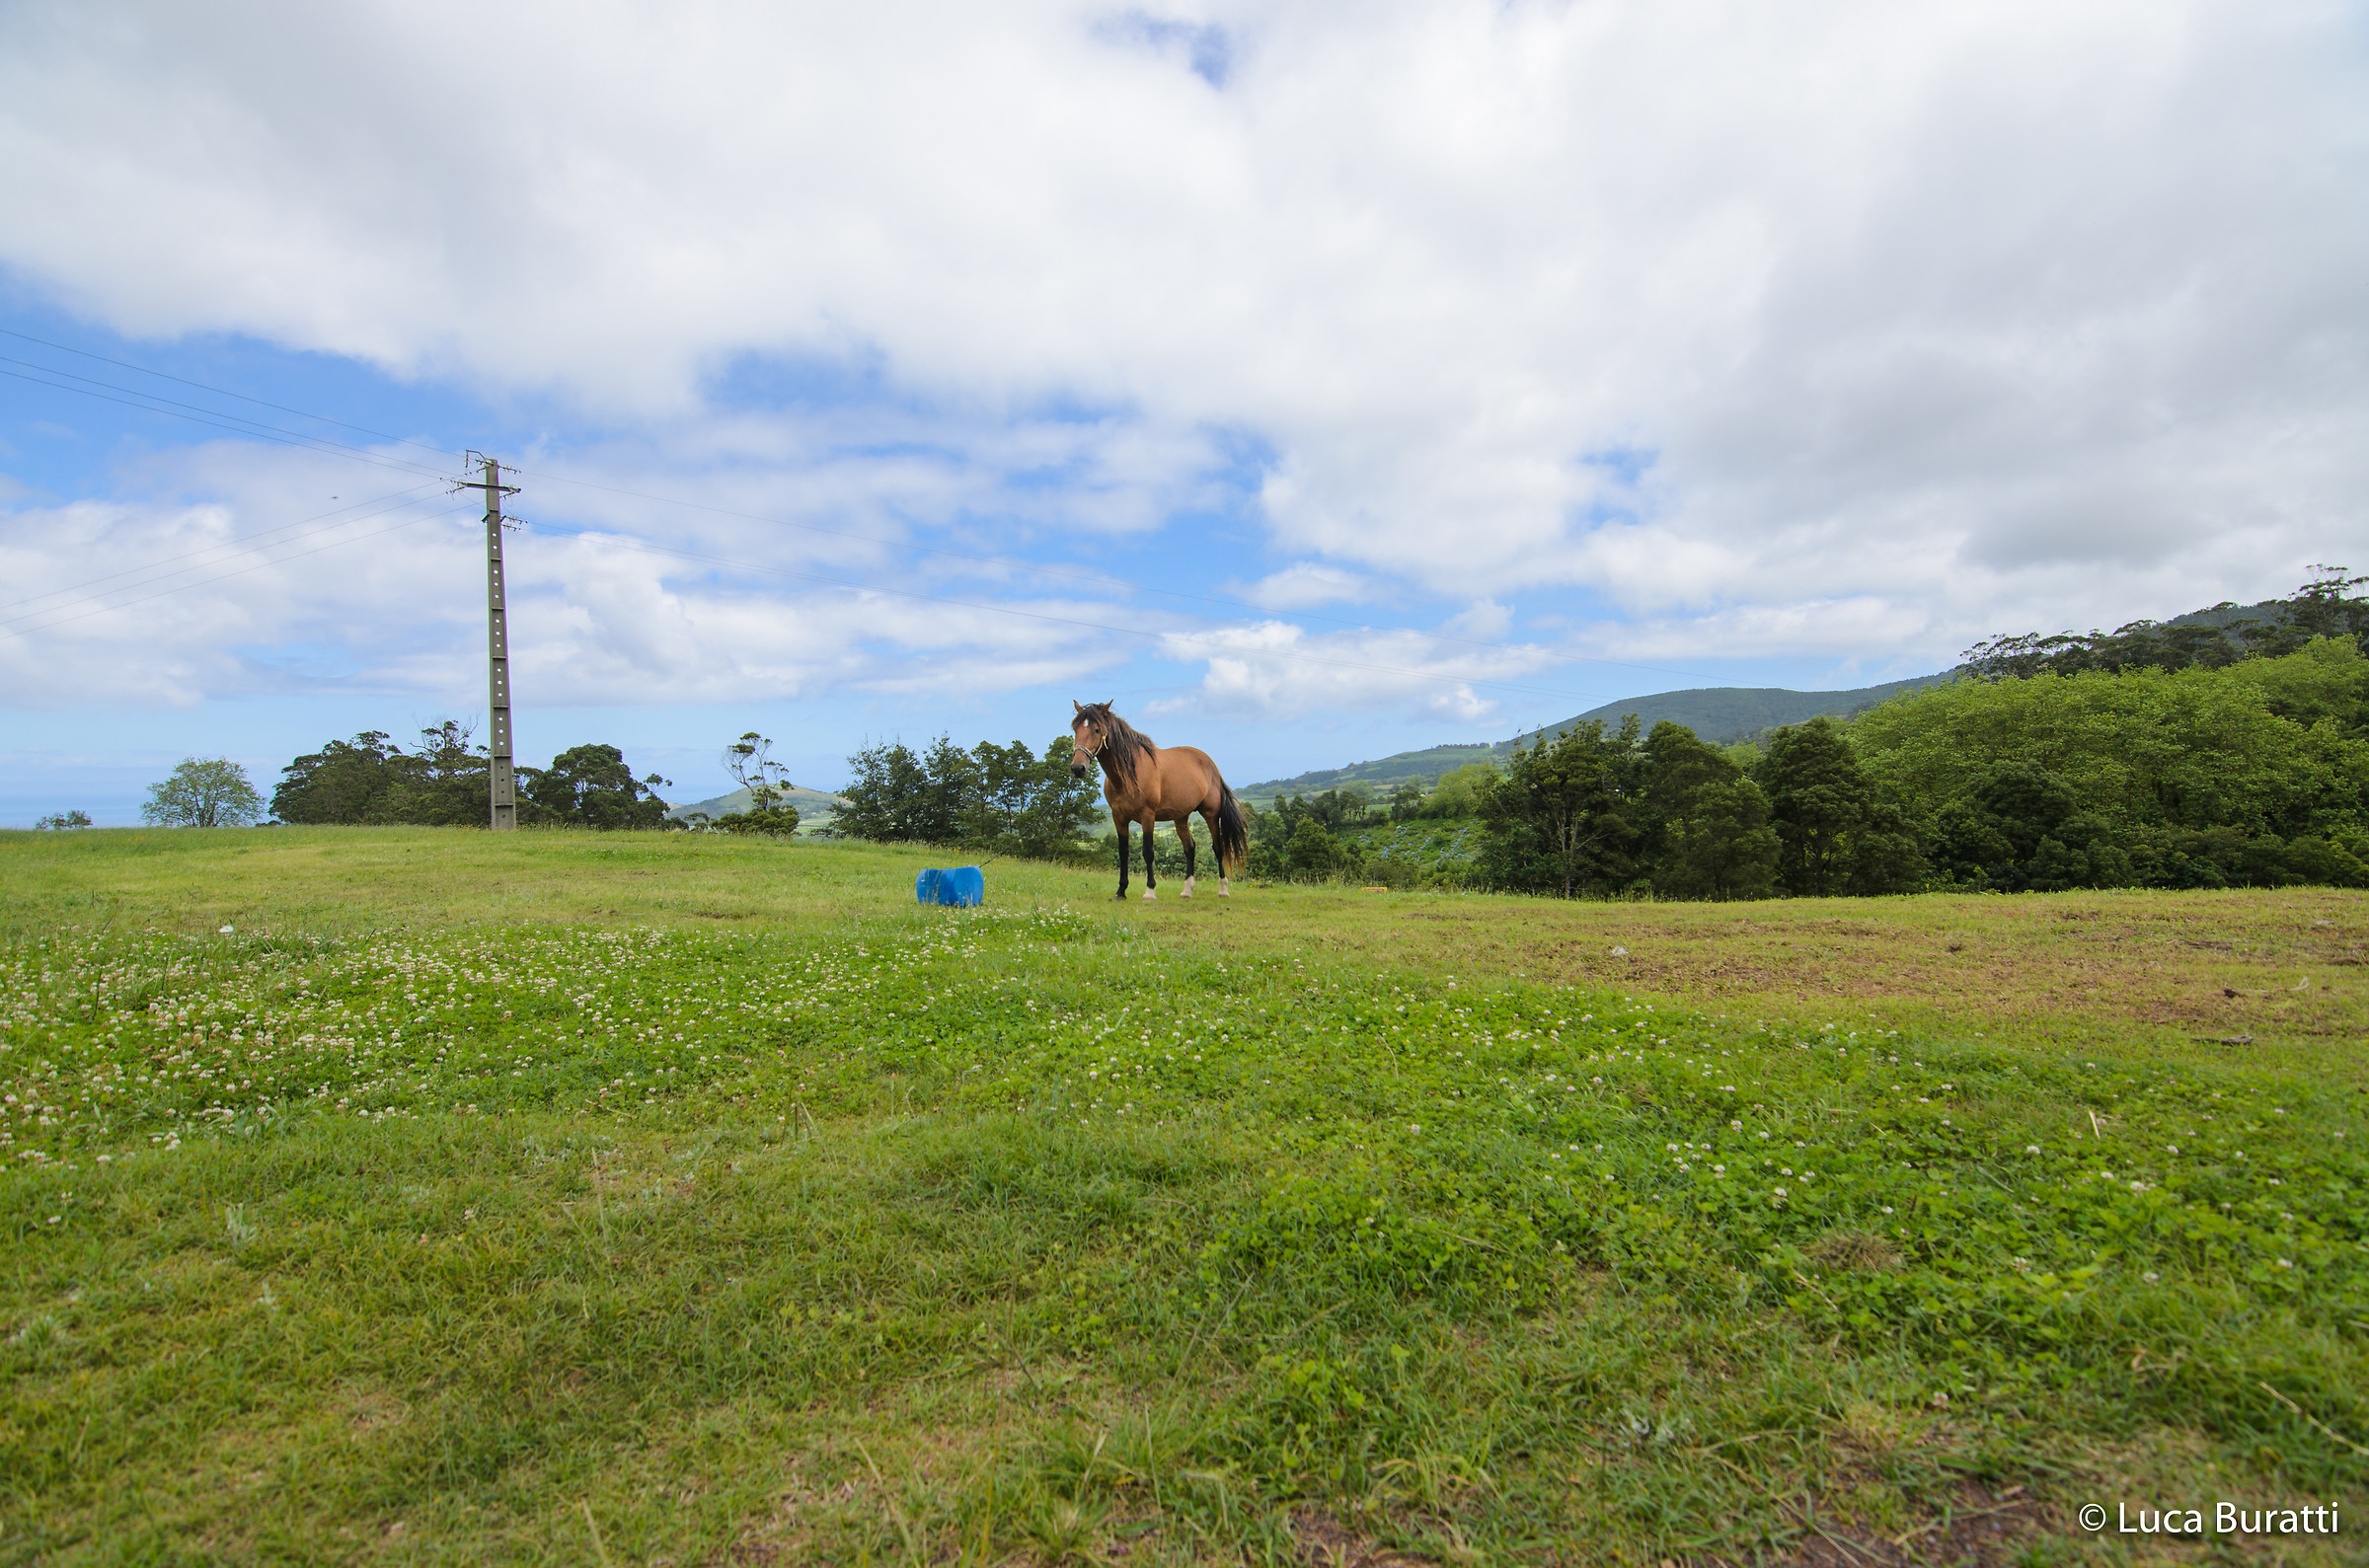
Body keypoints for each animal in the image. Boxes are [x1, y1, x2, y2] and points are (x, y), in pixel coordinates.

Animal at [1069, 700, 1250, 901]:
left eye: (1096, 729)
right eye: (1075, 728)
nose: (1078, 768)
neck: (1130, 775)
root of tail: (1211, 766)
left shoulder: (1147, 817)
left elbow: (1148, 852)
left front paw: (1149, 891)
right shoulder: (1119, 818)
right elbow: (1123, 852)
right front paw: (1121, 891)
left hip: (1211, 814)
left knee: (1218, 849)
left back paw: (1223, 890)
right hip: (1181, 817)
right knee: (1190, 848)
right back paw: (1187, 890)